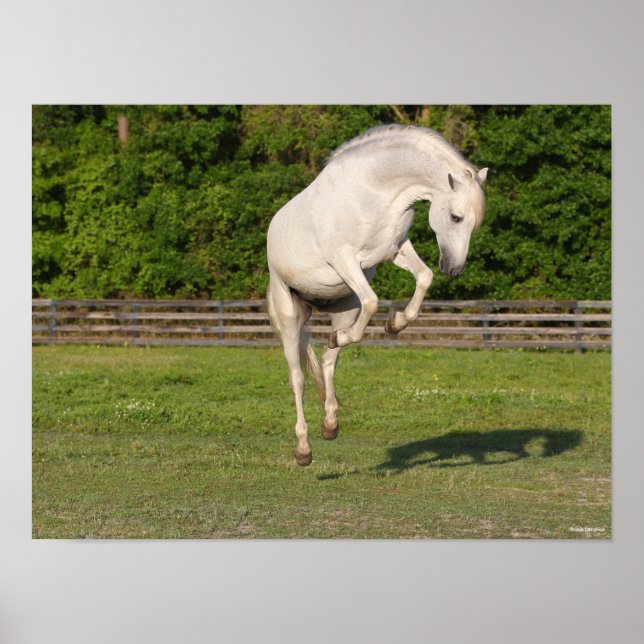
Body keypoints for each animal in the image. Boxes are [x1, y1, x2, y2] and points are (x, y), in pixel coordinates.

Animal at [266, 124, 488, 466]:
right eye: (455, 217)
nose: (454, 268)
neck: (373, 192)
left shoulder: (393, 250)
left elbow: (424, 277)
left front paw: (395, 324)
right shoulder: (344, 260)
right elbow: (373, 301)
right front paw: (385, 325)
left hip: (343, 306)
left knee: (328, 361)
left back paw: (331, 423)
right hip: (289, 311)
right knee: (298, 378)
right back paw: (303, 449)